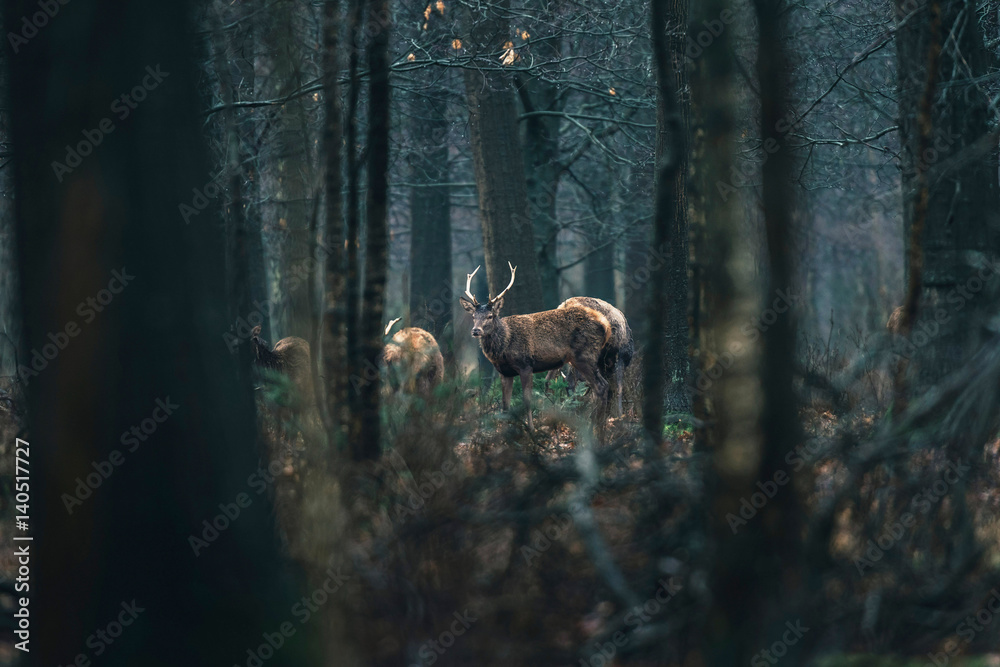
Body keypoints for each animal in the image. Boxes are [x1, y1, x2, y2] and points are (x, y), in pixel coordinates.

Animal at [459, 262, 611, 430]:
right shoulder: (505, 372)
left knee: (601, 386)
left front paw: (531, 429)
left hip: (584, 356)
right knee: (602, 385)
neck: (504, 347)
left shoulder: (526, 365)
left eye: (490, 316)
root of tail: (605, 324)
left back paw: (595, 426)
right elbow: (505, 405)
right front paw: (505, 431)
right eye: (473, 316)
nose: (476, 330)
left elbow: (527, 400)